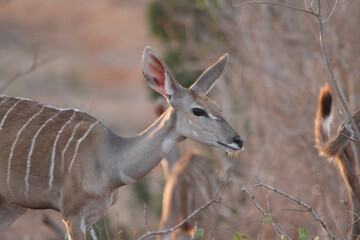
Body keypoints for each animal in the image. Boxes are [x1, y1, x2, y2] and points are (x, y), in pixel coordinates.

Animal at [0, 46, 243, 239]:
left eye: (219, 108)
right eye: (198, 111)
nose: (238, 140)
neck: (109, 158)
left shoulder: (90, 216)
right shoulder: (72, 214)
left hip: (12, 206)